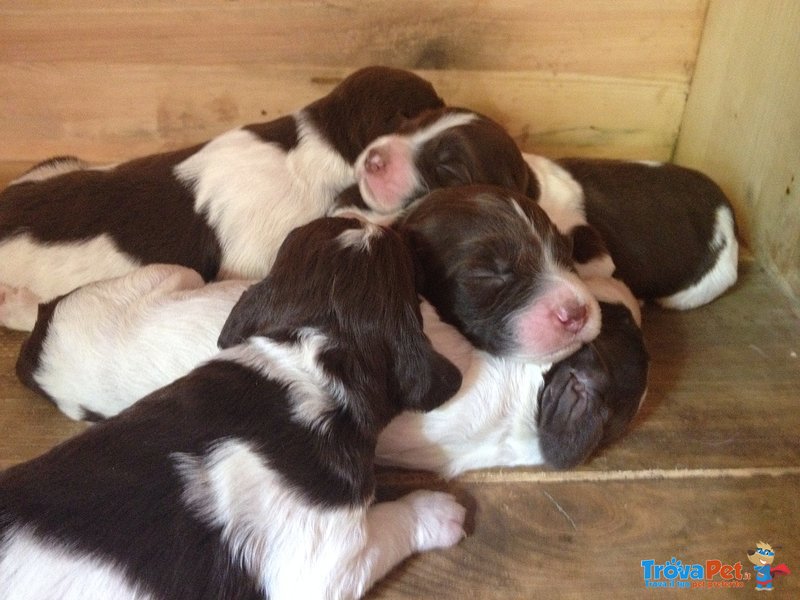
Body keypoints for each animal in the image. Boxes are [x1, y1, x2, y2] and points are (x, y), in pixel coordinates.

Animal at [0, 217, 466, 600]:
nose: (384, 222)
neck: (311, 356)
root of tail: (36, 354)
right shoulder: (327, 563)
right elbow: (391, 525)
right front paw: (439, 511)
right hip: (163, 275)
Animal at [350, 105, 736, 310]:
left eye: (449, 169)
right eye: (412, 123)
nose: (372, 159)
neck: (531, 186)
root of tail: (728, 212)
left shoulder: (593, 255)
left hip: (699, 286)